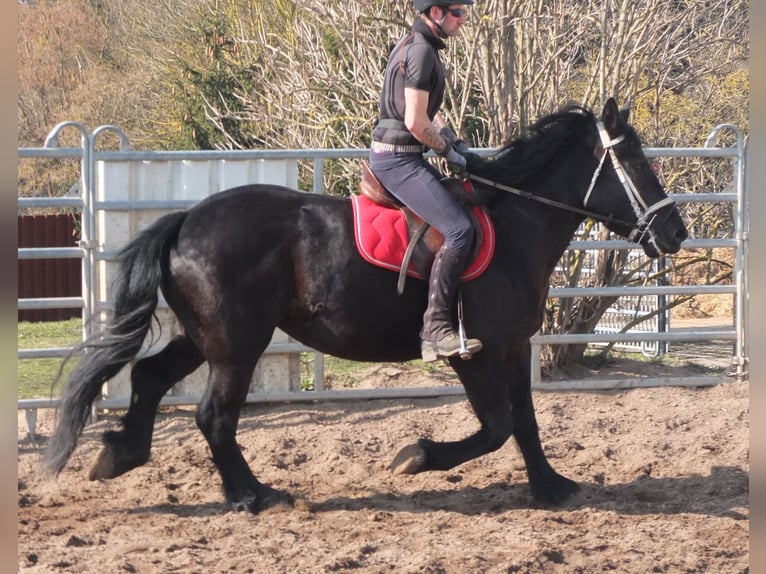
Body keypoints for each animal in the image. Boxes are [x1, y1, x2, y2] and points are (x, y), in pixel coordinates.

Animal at [42, 99, 688, 512]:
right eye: (635, 162)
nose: (676, 232)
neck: (514, 225)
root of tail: (185, 221)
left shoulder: (513, 348)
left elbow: (525, 422)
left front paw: (551, 487)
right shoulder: (472, 355)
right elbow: (497, 426)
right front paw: (416, 456)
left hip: (206, 338)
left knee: (151, 377)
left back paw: (121, 454)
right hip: (237, 347)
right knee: (213, 416)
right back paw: (253, 494)